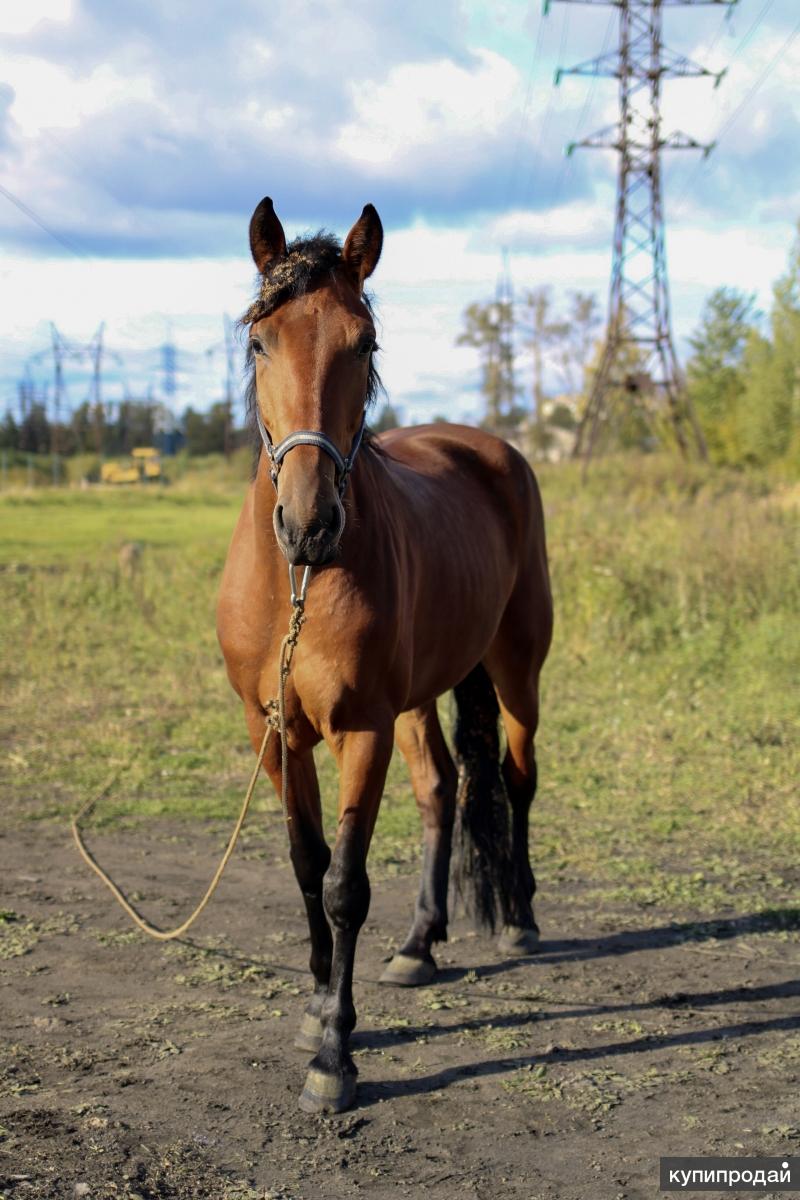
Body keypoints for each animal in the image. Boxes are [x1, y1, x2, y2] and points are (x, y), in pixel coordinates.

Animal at [215, 196, 554, 1113]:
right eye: (259, 341)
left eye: (362, 343)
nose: (308, 524)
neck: (295, 584)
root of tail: (488, 449)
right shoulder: (276, 735)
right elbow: (307, 867)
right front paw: (316, 1008)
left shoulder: (359, 731)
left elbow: (345, 885)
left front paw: (335, 1057)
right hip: (417, 697)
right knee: (441, 790)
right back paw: (419, 945)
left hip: (516, 670)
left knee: (515, 779)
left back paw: (519, 923)